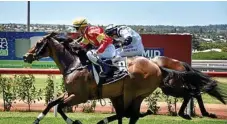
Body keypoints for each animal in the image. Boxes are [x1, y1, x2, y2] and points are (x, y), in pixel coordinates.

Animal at [22, 33, 163, 124]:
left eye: (38, 43)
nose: (25, 56)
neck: (74, 64)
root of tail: (156, 66)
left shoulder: (80, 96)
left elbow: (61, 107)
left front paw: (76, 122)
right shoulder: (71, 92)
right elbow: (52, 103)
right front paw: (36, 120)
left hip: (132, 92)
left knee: (128, 114)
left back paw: (102, 121)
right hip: (125, 95)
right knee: (128, 114)